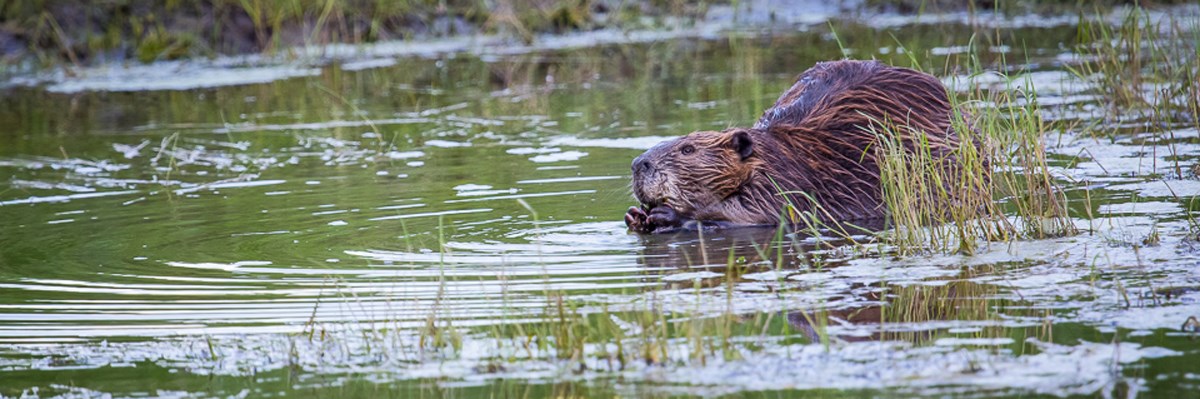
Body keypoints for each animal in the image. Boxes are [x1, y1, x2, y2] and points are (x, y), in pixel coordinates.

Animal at [628, 59, 974, 234]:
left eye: (687, 149)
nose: (638, 164)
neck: (779, 153)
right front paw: (635, 216)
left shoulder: (785, 183)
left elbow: (761, 215)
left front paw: (667, 215)